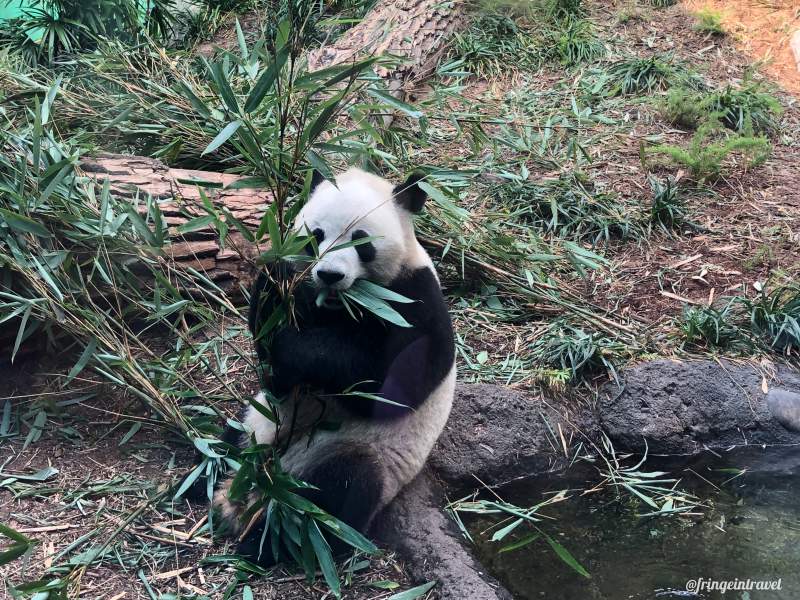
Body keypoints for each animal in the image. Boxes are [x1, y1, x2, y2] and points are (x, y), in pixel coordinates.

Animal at [214, 165, 456, 564]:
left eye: (361, 242)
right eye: (316, 236)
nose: (329, 275)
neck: (341, 304)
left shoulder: (413, 300)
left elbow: (385, 390)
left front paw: (299, 347)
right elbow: (275, 373)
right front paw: (275, 283)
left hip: (353, 453)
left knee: (338, 496)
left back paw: (266, 543)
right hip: (257, 424)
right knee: (230, 440)